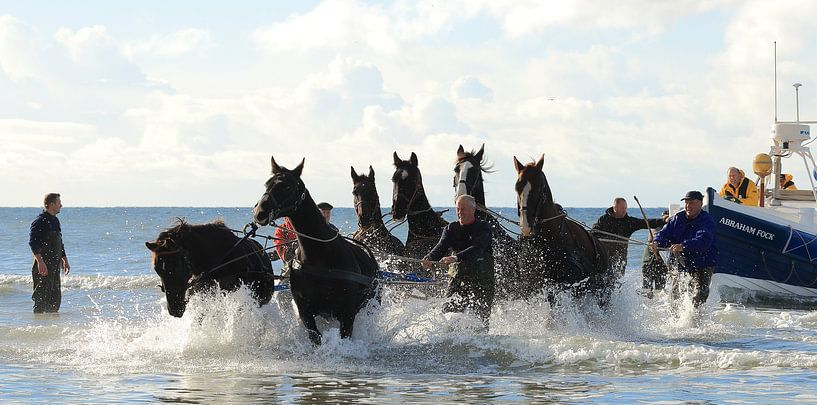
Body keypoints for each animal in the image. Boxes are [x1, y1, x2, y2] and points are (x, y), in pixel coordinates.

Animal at [252, 157, 379, 345]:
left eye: (288, 187)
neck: (321, 255)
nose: (259, 212)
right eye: (267, 184)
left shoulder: (347, 313)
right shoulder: (306, 312)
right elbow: (315, 337)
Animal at [513, 155, 615, 306]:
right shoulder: (536, 285)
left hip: (601, 290)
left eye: (539, 188)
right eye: (517, 187)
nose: (526, 226)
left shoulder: (569, 284)